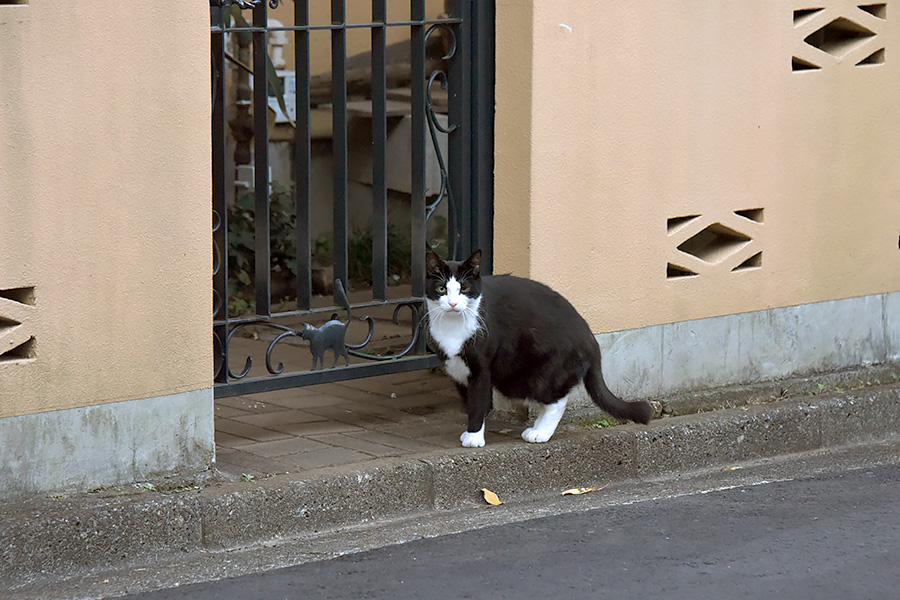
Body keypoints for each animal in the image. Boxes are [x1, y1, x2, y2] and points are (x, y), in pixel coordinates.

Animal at [426, 246, 652, 448]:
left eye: (463, 288)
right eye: (441, 289)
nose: (453, 304)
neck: (452, 327)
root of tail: (591, 339)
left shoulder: (481, 370)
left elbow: (478, 402)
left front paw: (474, 437)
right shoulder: (457, 371)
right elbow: (469, 404)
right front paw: (470, 432)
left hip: (540, 374)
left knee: (556, 400)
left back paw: (540, 433)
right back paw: (536, 428)